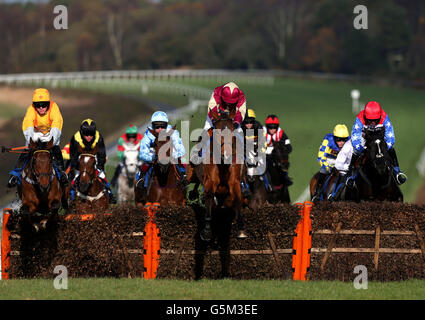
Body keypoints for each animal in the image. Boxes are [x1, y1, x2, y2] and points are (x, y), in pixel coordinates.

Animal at [200, 111, 247, 241]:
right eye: (217, 132)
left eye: (232, 131)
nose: (226, 156)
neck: (223, 164)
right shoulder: (210, 181)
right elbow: (209, 196)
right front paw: (207, 230)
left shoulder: (234, 181)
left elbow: (237, 198)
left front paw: (241, 228)